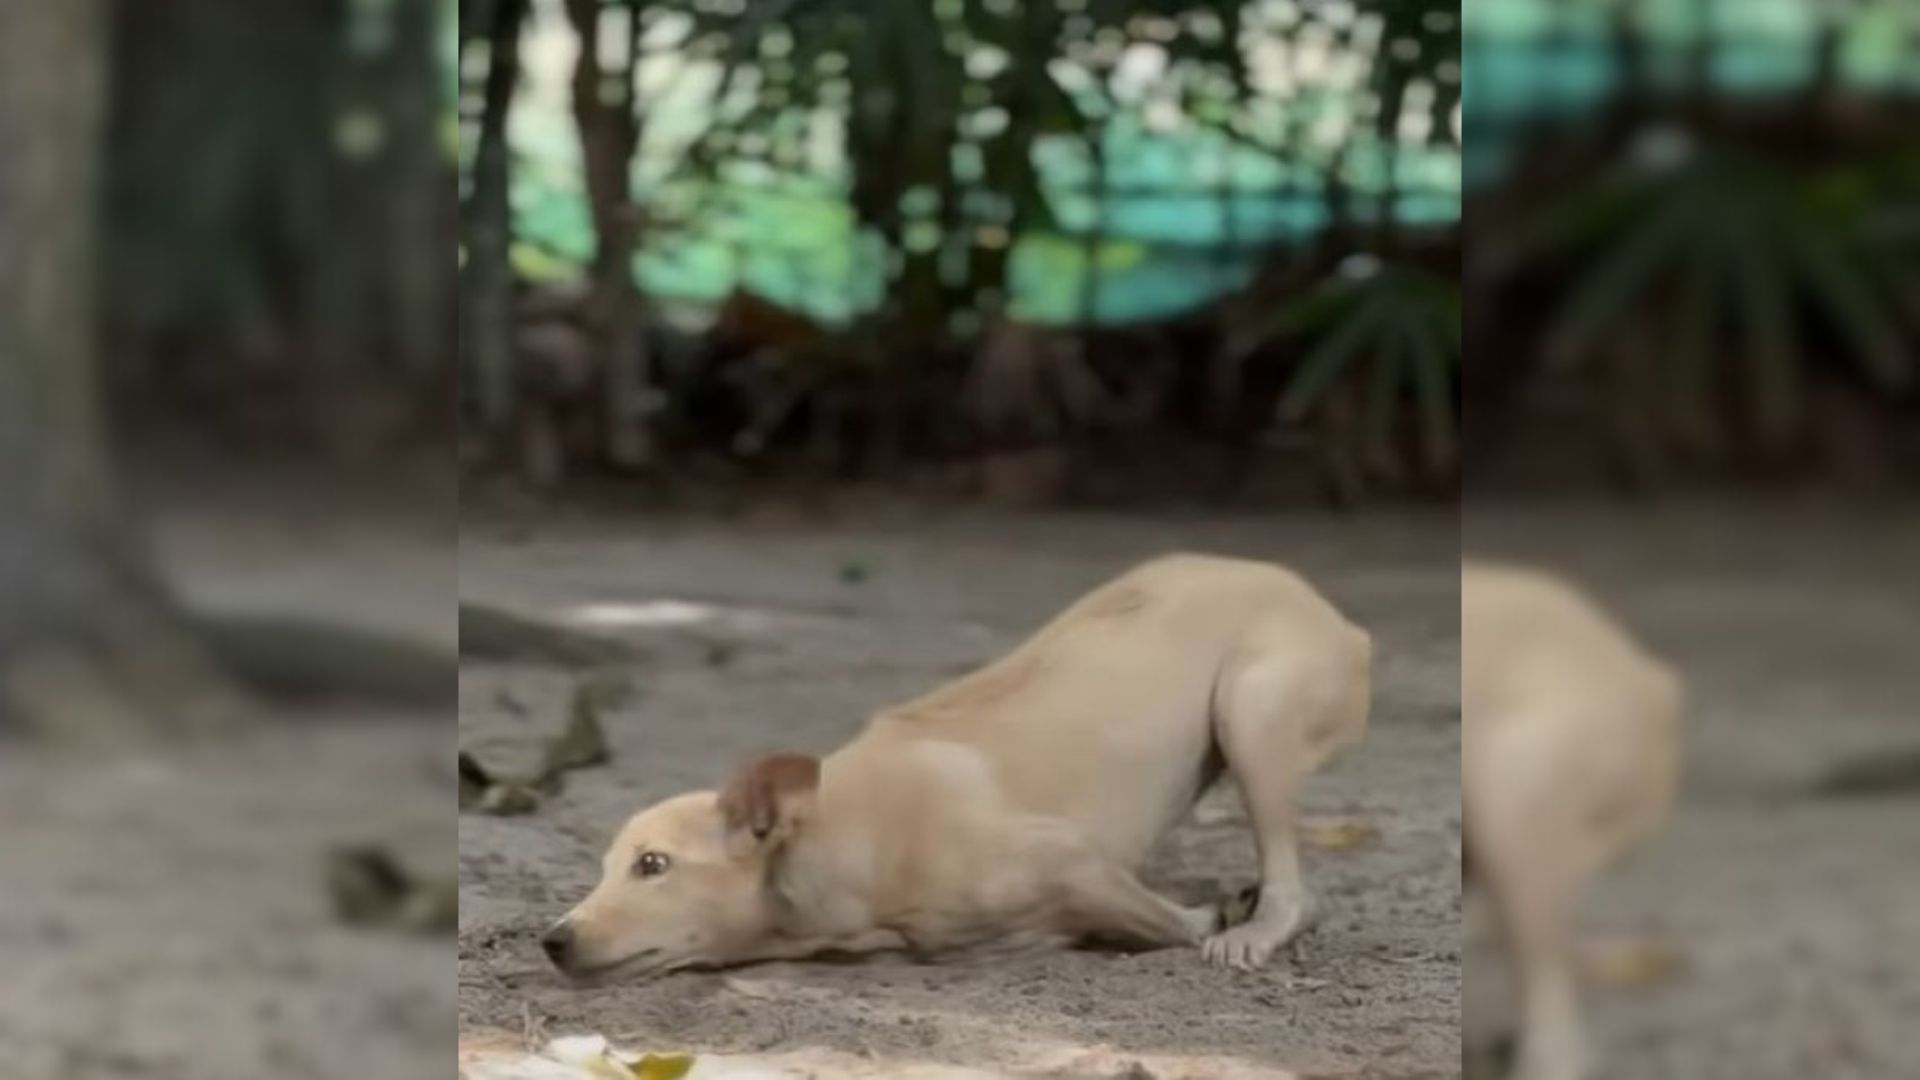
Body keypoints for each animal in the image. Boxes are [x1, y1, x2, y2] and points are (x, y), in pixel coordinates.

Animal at [549, 549, 1374, 980]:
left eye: (653, 865)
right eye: (608, 866)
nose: (551, 940)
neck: (843, 834)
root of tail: (1333, 612)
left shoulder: (1076, 859)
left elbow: (1172, 921)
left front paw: (1208, 919)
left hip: (1252, 712)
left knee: (1296, 890)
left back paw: (1256, 927)